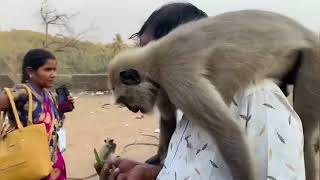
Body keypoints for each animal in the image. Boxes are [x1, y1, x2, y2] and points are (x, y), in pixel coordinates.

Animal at [108, 10, 320, 180]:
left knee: (306, 133)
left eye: (126, 102)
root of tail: (306, 32)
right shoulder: (164, 86)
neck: (153, 59)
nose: (134, 110)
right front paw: (158, 158)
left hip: (314, 59)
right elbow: (168, 119)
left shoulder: (176, 77)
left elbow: (229, 133)